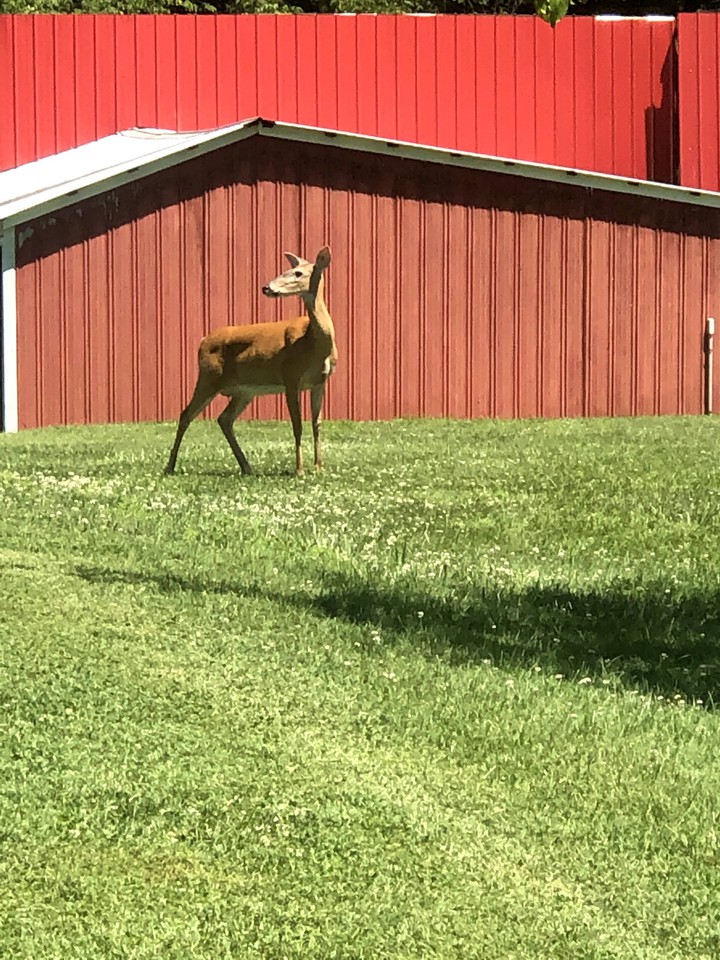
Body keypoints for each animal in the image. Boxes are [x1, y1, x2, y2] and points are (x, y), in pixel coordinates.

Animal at [164, 246, 336, 477]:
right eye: (287, 270)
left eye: (298, 273)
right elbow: (297, 424)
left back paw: (246, 467)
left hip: (244, 391)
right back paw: (170, 466)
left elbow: (317, 423)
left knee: (224, 418)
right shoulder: (290, 376)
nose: (266, 287)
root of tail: (203, 340)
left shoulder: (320, 381)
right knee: (186, 414)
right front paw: (299, 470)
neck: (312, 343)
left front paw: (319, 467)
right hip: (208, 376)